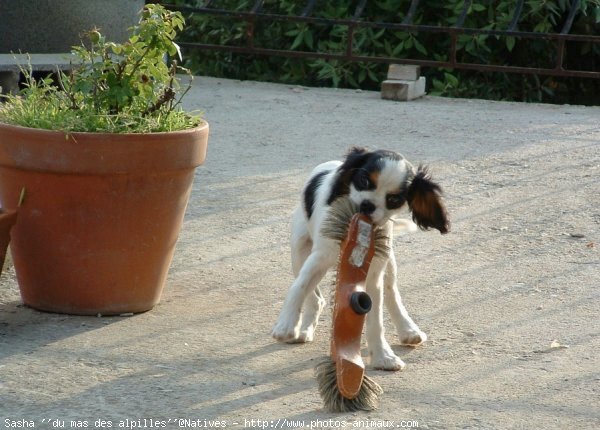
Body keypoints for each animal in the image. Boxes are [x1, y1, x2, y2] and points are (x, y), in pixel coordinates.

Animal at [270, 147, 448, 370]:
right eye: (363, 180)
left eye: (394, 199)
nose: (367, 205)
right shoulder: (320, 256)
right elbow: (298, 287)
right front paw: (286, 325)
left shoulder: (373, 272)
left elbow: (376, 318)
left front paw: (383, 357)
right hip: (300, 250)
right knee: (314, 297)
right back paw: (304, 330)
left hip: (387, 261)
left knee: (391, 293)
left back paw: (408, 330)